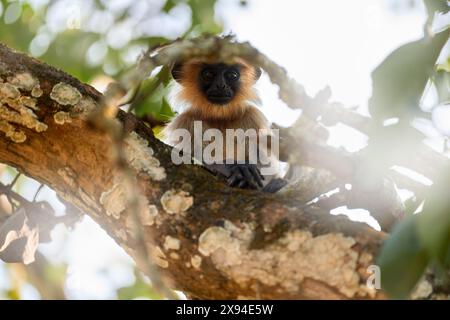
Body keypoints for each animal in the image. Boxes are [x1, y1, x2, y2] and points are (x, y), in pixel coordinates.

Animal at [163, 55, 286, 192]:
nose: (220, 85)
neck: (220, 118)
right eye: (208, 74)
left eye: (232, 75)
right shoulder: (186, 121)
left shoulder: (252, 116)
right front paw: (235, 168)